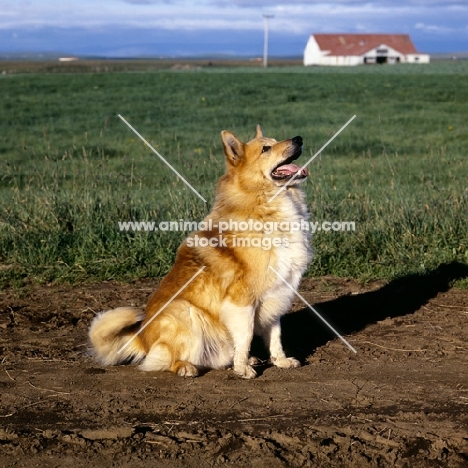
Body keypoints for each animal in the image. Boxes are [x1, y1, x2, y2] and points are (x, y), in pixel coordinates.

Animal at [89, 126, 312, 378]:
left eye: (275, 141)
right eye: (266, 148)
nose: (299, 139)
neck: (265, 203)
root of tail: (141, 338)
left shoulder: (277, 293)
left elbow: (275, 336)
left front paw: (280, 361)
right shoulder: (242, 299)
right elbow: (245, 337)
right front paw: (241, 369)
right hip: (184, 311)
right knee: (164, 359)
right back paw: (187, 367)